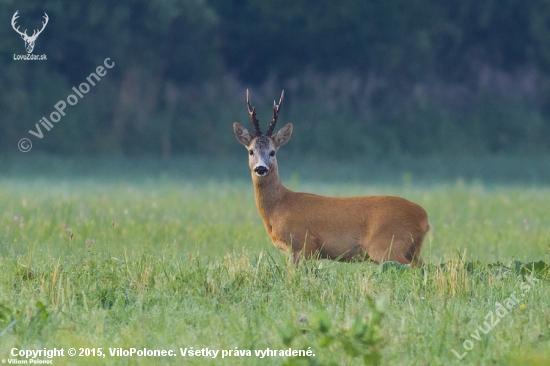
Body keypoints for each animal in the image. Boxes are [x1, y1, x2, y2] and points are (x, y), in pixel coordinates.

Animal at [233, 88, 432, 266]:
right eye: (251, 151)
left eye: (272, 152)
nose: (261, 168)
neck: (279, 206)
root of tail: (424, 217)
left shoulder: (304, 243)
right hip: (412, 249)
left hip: (387, 245)